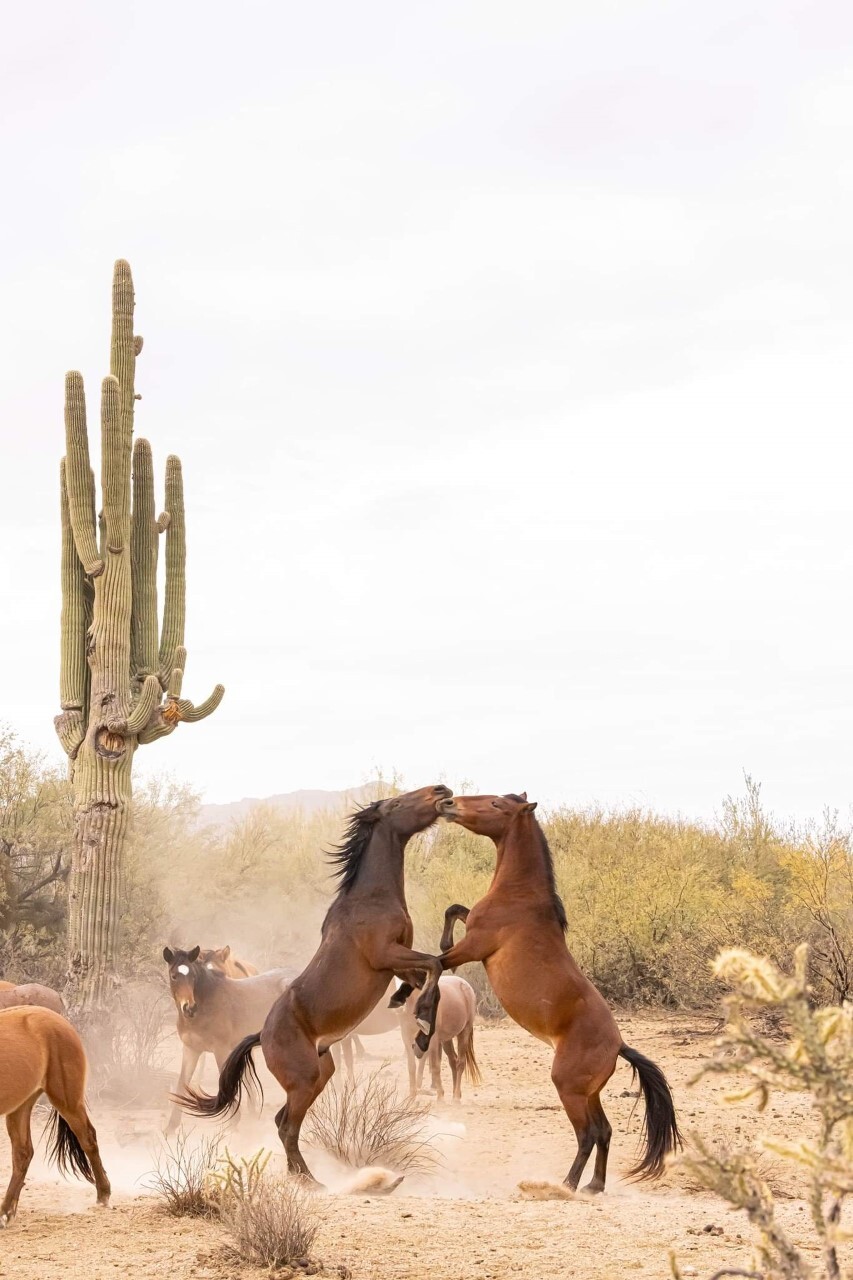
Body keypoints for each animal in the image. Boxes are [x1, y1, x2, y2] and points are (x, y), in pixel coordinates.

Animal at [0, 1006, 110, 1225]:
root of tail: (61, 1020)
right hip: (21, 1105)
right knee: (23, 1153)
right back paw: (6, 1212)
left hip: (67, 1100)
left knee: (88, 1138)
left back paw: (103, 1195)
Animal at [163, 946, 293, 1134]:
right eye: (174, 976)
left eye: (193, 976)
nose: (189, 1008)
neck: (205, 1005)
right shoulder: (191, 1050)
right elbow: (182, 1083)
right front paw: (171, 1127)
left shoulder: (221, 1050)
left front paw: (233, 1123)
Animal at [178, 784, 453, 1180]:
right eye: (399, 802)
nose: (441, 790)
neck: (370, 898)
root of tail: (262, 1036)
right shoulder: (386, 955)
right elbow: (434, 964)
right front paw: (422, 1025)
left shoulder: (397, 962)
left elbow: (431, 974)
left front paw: (412, 1015)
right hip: (305, 1079)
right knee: (286, 1126)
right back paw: (311, 1182)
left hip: (321, 1073)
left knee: (282, 1121)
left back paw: (302, 1176)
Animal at [433, 792, 681, 1193]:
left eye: (496, 803)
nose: (449, 803)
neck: (519, 895)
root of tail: (619, 1045)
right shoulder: (471, 930)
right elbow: (453, 910)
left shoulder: (474, 946)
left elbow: (435, 961)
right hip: (589, 1092)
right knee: (605, 1130)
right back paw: (594, 1185)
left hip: (568, 1088)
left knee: (588, 1134)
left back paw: (567, 1184)